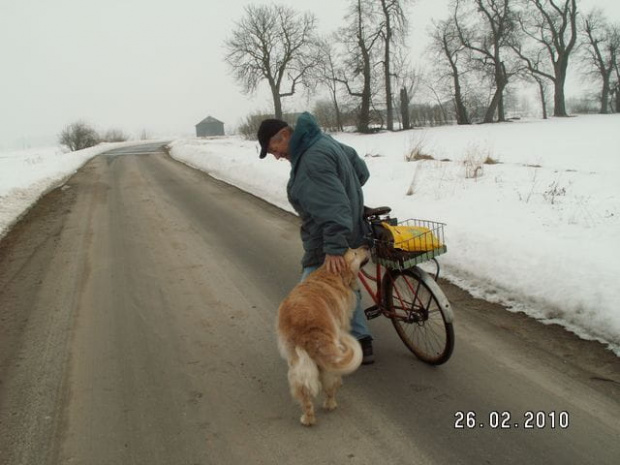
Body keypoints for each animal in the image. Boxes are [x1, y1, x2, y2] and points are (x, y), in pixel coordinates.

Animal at [276, 246, 368, 424]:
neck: (330, 275)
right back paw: (330, 403)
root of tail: (304, 326)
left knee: (304, 389)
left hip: (298, 361)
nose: (367, 246)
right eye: (354, 253)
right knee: (331, 384)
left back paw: (308, 418)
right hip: (329, 360)